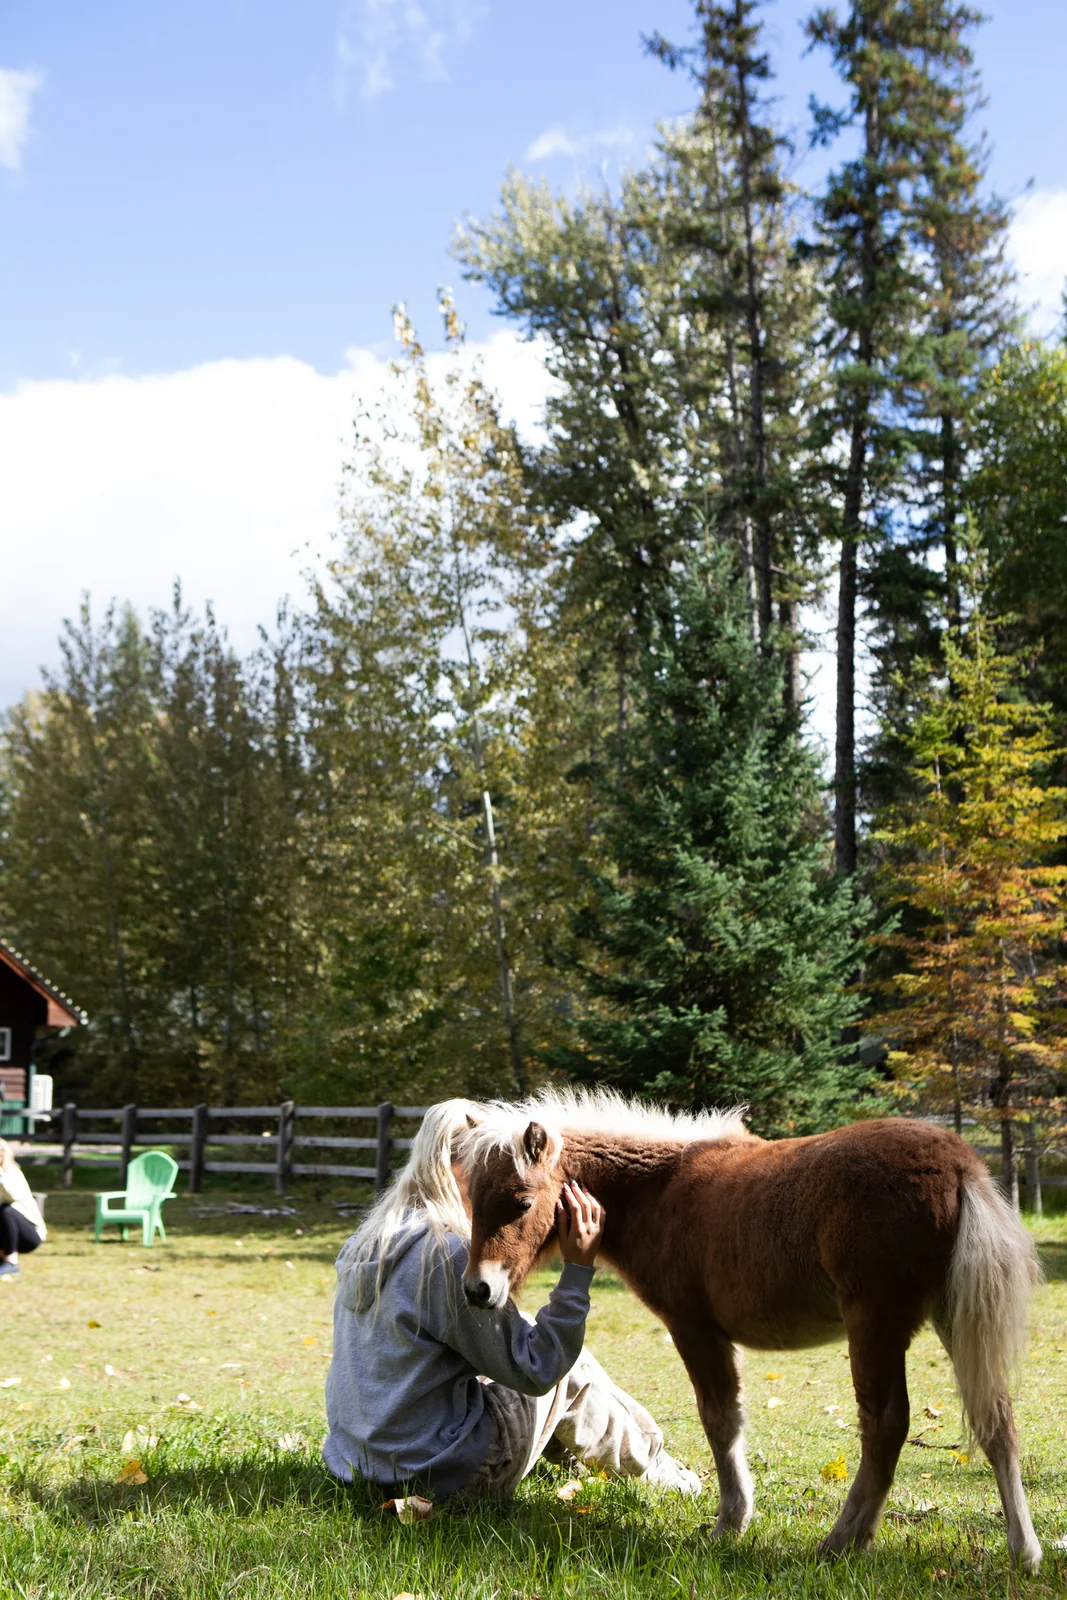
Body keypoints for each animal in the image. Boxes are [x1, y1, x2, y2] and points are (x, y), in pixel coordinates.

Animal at [459, 1089, 1042, 1571]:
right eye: (472, 1200)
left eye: (522, 1202)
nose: (477, 1291)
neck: (658, 1190)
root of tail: (959, 1165)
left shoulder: (693, 1326)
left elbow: (720, 1420)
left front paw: (730, 1523)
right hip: (951, 1315)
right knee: (995, 1418)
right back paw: (1025, 1552)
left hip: (875, 1323)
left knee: (886, 1424)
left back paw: (842, 1542)